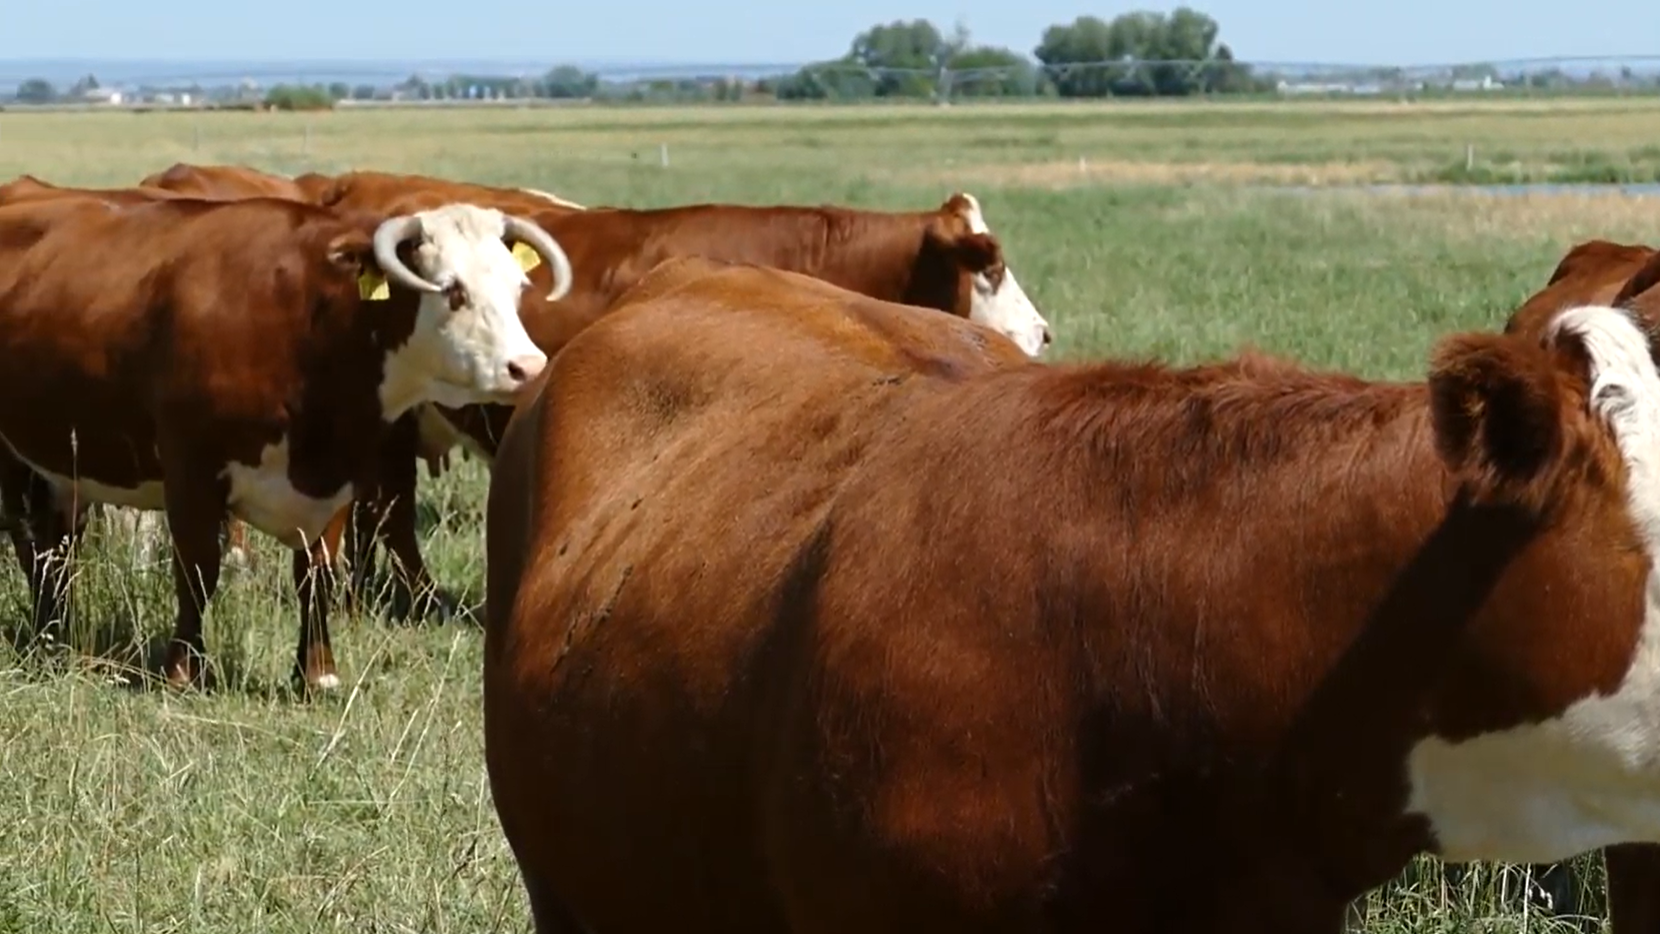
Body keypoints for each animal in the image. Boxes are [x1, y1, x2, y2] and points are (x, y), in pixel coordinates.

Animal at [0, 193, 573, 692]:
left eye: (518, 287)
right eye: (452, 290)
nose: (528, 367)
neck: (312, 325)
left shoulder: (339, 477)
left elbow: (316, 575)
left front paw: (316, 674)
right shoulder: (192, 468)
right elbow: (198, 570)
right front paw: (184, 672)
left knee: (55, 547)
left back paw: (57, 635)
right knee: (33, 542)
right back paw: (48, 638)